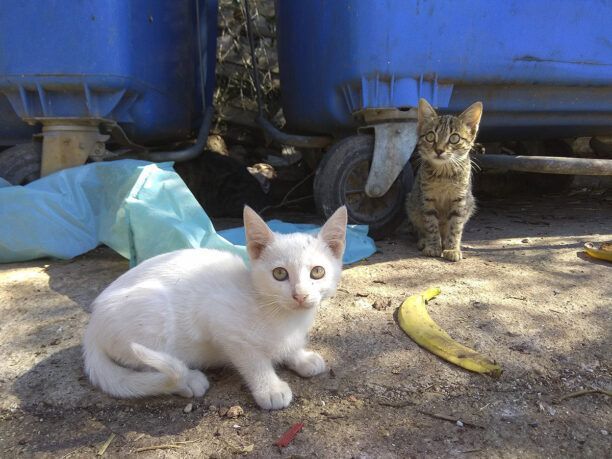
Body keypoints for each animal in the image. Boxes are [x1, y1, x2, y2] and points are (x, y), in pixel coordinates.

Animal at [82, 205, 346, 410]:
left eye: (317, 272)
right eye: (279, 274)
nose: (300, 295)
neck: (281, 315)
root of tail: (91, 328)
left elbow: (285, 347)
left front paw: (300, 357)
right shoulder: (219, 319)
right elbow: (253, 359)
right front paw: (269, 388)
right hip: (153, 314)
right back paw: (188, 380)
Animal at [406, 98, 482, 262]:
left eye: (454, 138)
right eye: (430, 136)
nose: (439, 150)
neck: (444, 175)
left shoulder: (460, 200)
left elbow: (455, 226)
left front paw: (452, 248)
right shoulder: (426, 199)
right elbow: (431, 225)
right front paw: (433, 246)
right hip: (412, 203)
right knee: (420, 227)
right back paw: (424, 240)